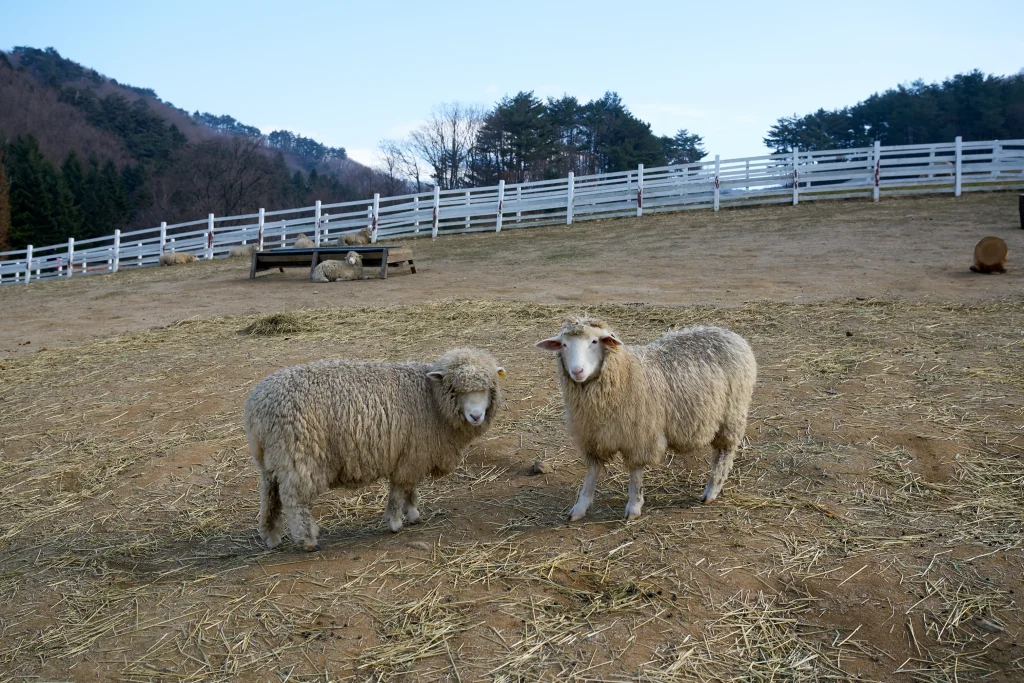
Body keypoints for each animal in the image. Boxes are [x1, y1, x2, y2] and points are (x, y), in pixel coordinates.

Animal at [244, 348, 507, 548]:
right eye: (456, 389)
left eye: (487, 388)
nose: (476, 416)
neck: (431, 399)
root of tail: (256, 407)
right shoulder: (411, 455)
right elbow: (399, 489)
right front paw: (395, 521)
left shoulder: (412, 455)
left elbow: (410, 488)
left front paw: (412, 513)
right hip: (299, 455)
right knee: (294, 500)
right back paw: (307, 540)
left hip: (271, 460)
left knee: (270, 496)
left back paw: (271, 537)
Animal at [540, 317, 757, 520]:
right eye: (564, 345)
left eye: (594, 341)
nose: (577, 371)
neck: (625, 373)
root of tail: (730, 334)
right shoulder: (592, 437)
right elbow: (591, 474)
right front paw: (579, 508)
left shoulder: (639, 436)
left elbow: (635, 474)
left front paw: (634, 507)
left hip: (731, 415)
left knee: (724, 453)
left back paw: (711, 491)